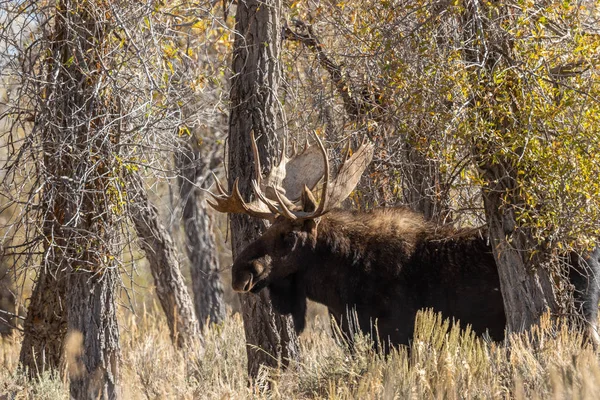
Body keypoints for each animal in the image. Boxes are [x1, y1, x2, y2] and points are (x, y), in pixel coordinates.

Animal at [207, 134, 600, 350]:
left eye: (287, 236)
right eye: (266, 230)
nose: (240, 272)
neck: (339, 286)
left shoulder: (395, 329)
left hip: (578, 316)